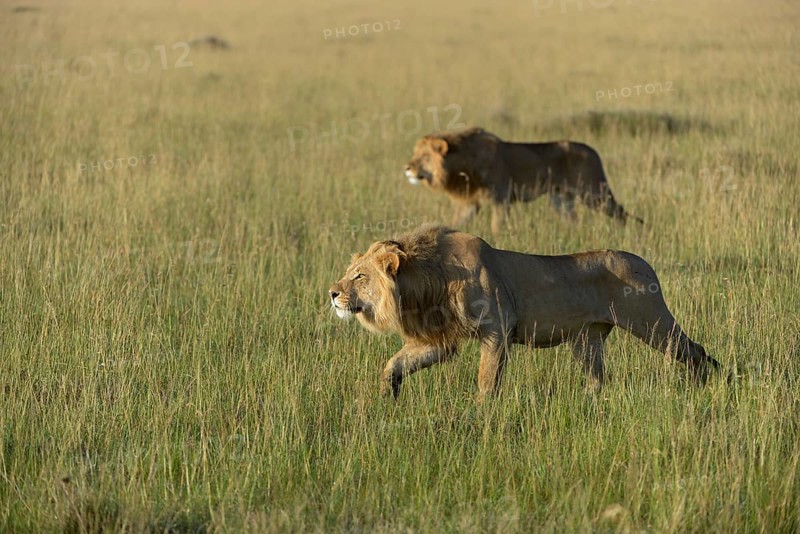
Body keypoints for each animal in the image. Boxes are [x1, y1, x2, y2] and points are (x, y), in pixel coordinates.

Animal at [329, 225, 718, 399]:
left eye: (359, 276)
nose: (332, 293)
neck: (428, 282)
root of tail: (646, 263)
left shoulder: (497, 329)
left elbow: (487, 379)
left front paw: (482, 415)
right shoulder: (441, 338)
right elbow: (395, 363)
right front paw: (388, 396)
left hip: (650, 322)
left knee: (692, 349)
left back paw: (703, 385)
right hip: (588, 339)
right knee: (598, 378)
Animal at [404, 127, 642, 235]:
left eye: (423, 157)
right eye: (415, 154)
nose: (407, 168)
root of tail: (593, 151)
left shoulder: (501, 199)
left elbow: (497, 226)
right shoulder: (469, 204)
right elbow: (455, 223)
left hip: (593, 193)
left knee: (620, 213)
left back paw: (627, 233)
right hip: (562, 199)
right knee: (573, 220)